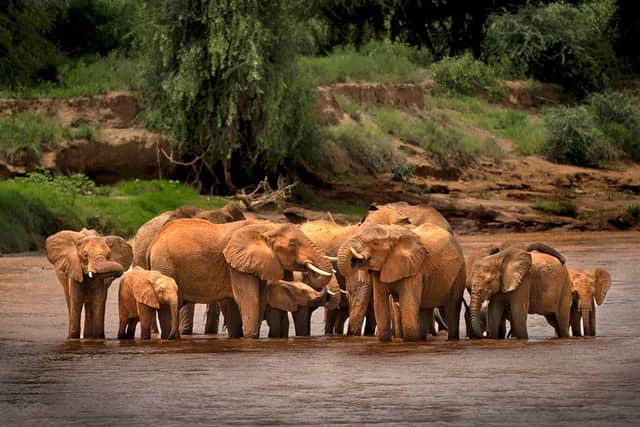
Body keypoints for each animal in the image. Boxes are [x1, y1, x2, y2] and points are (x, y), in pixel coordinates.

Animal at [148, 219, 334, 338]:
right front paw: (250, 338)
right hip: (165, 264)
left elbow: (260, 299)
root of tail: (152, 243)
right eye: (293, 244)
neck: (265, 227)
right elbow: (248, 299)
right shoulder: (236, 266)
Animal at [337, 223, 466, 342]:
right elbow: (379, 304)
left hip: (459, 273)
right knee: (424, 307)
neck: (390, 232)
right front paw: (385, 341)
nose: (355, 260)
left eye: (375, 243)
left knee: (452, 306)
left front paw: (411, 341)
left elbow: (407, 305)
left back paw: (452, 339)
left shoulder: (414, 269)